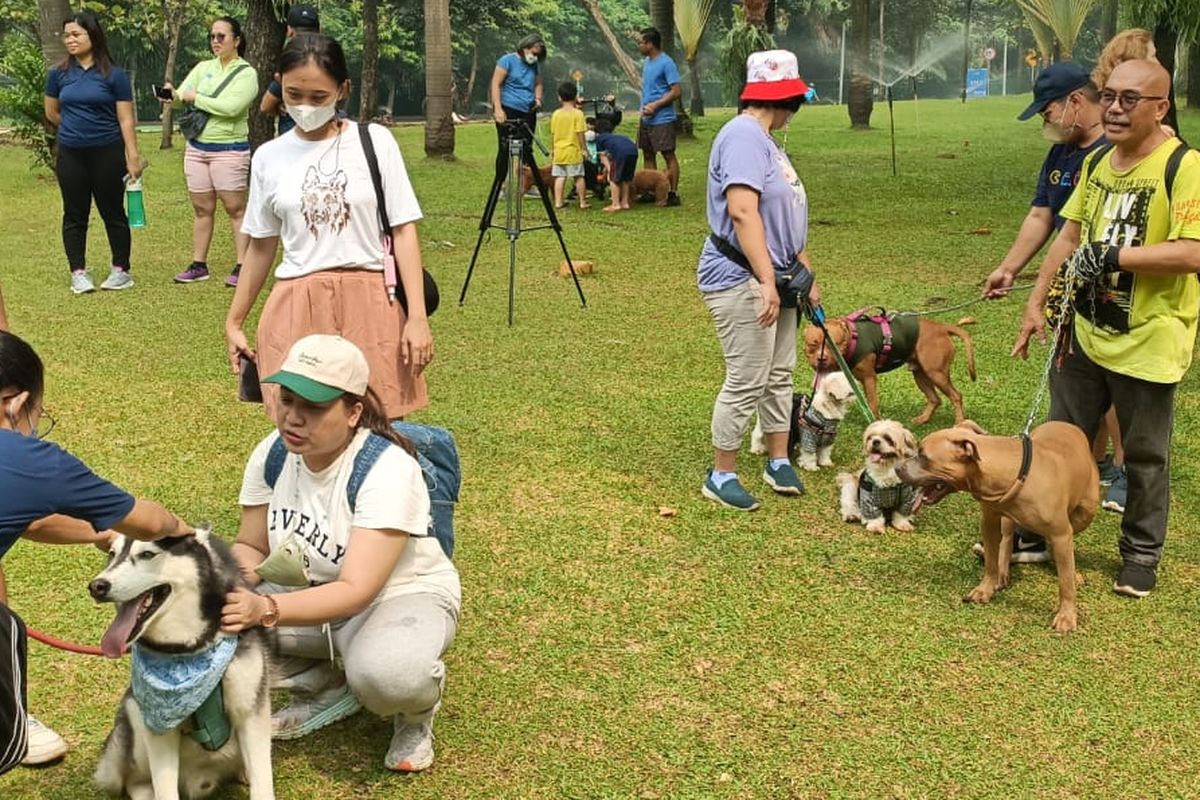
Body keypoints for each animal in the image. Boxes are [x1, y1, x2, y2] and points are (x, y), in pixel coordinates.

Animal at [806, 309, 974, 424]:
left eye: (832, 344)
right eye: (812, 345)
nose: (821, 358)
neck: (852, 336)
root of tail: (941, 328)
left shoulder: (869, 378)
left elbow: (872, 403)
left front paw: (875, 422)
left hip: (936, 374)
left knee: (956, 395)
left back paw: (959, 422)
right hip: (920, 374)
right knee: (935, 399)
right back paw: (923, 419)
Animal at [897, 419, 1099, 633]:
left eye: (924, 457)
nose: (897, 468)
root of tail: (1067, 425)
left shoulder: (1061, 533)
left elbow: (1065, 583)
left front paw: (1067, 615)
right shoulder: (989, 522)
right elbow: (991, 563)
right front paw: (985, 589)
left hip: (1085, 514)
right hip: (1007, 520)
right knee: (1008, 539)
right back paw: (1004, 570)